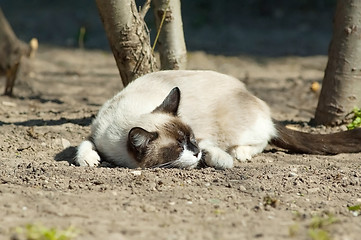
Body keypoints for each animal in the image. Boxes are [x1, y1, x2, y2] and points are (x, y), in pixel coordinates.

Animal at [75, 70, 360, 170]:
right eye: (178, 147)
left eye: (191, 139)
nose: (195, 151)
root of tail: (249, 93)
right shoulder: (97, 135)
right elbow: (84, 144)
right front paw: (89, 160)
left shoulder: (206, 138)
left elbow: (214, 152)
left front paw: (218, 160)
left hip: (239, 129)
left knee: (265, 137)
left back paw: (240, 153)